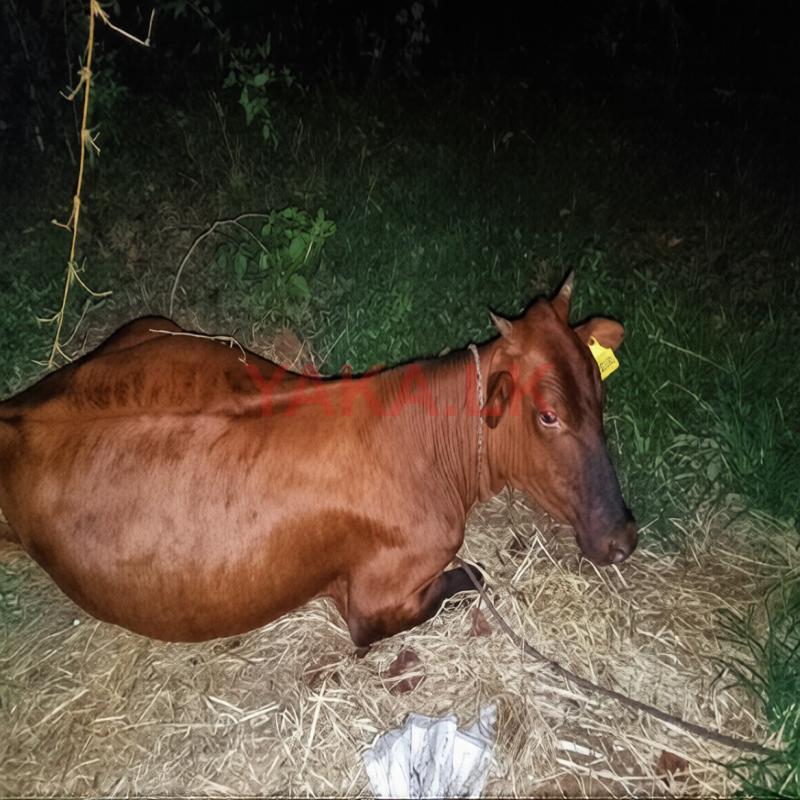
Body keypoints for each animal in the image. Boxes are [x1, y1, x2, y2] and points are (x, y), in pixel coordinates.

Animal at [0, 274, 637, 645]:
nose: (623, 537)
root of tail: (14, 411)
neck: (424, 448)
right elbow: (467, 578)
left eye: (600, 394)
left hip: (151, 326)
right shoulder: (375, 602)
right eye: (548, 416)